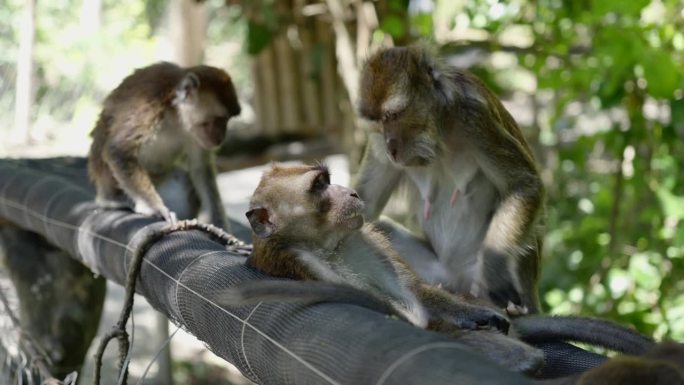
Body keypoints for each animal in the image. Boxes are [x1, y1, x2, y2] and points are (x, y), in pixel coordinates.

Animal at [87, 60, 240, 228]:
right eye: (220, 119)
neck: (175, 115)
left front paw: (219, 224)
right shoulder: (149, 106)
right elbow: (119, 149)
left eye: (227, 120)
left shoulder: (195, 135)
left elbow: (200, 168)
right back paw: (113, 199)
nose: (221, 137)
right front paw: (154, 208)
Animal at [216, 163, 656, 376]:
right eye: (320, 186)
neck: (328, 243)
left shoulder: (364, 240)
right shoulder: (298, 261)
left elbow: (417, 297)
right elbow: (393, 315)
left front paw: (478, 313)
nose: (351, 192)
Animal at [352, 45, 544, 316]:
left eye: (392, 115)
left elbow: (522, 184)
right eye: (377, 121)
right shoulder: (377, 142)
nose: (391, 148)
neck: (439, 133)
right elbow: (364, 204)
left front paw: (495, 270)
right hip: (436, 273)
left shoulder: (475, 116)